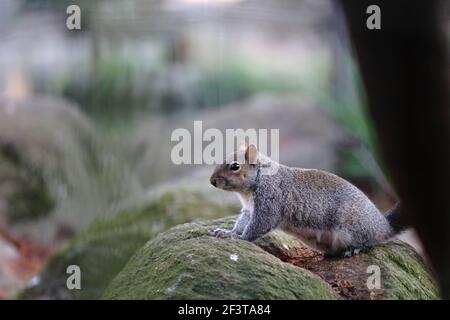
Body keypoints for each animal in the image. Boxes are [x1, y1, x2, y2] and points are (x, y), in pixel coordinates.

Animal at [209, 144, 406, 258]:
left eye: (235, 166)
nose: (212, 181)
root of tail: (382, 224)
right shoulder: (249, 209)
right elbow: (243, 221)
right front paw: (227, 231)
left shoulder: (271, 201)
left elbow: (258, 225)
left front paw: (238, 237)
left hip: (353, 227)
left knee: (370, 241)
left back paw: (355, 248)